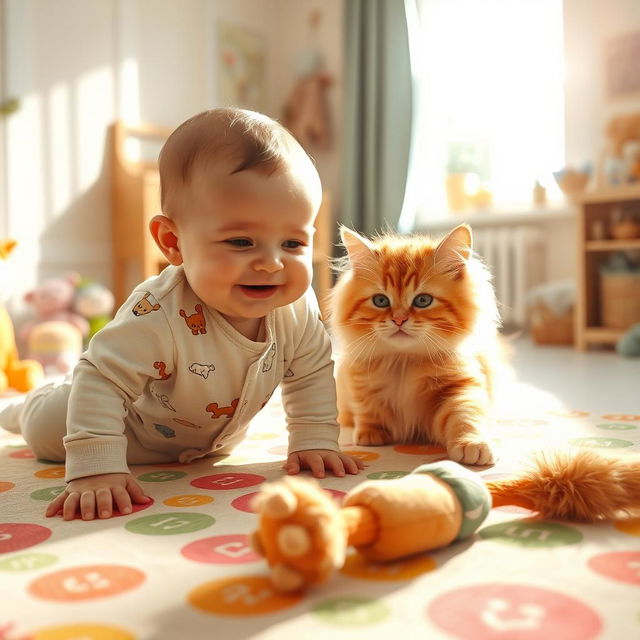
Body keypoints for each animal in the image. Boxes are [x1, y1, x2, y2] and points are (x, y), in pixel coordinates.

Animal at [332, 224, 502, 464]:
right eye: (381, 301)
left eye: (423, 301)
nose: (399, 319)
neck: (404, 361)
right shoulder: (359, 381)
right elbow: (367, 407)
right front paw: (371, 433)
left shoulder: (460, 386)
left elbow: (465, 415)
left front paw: (473, 444)